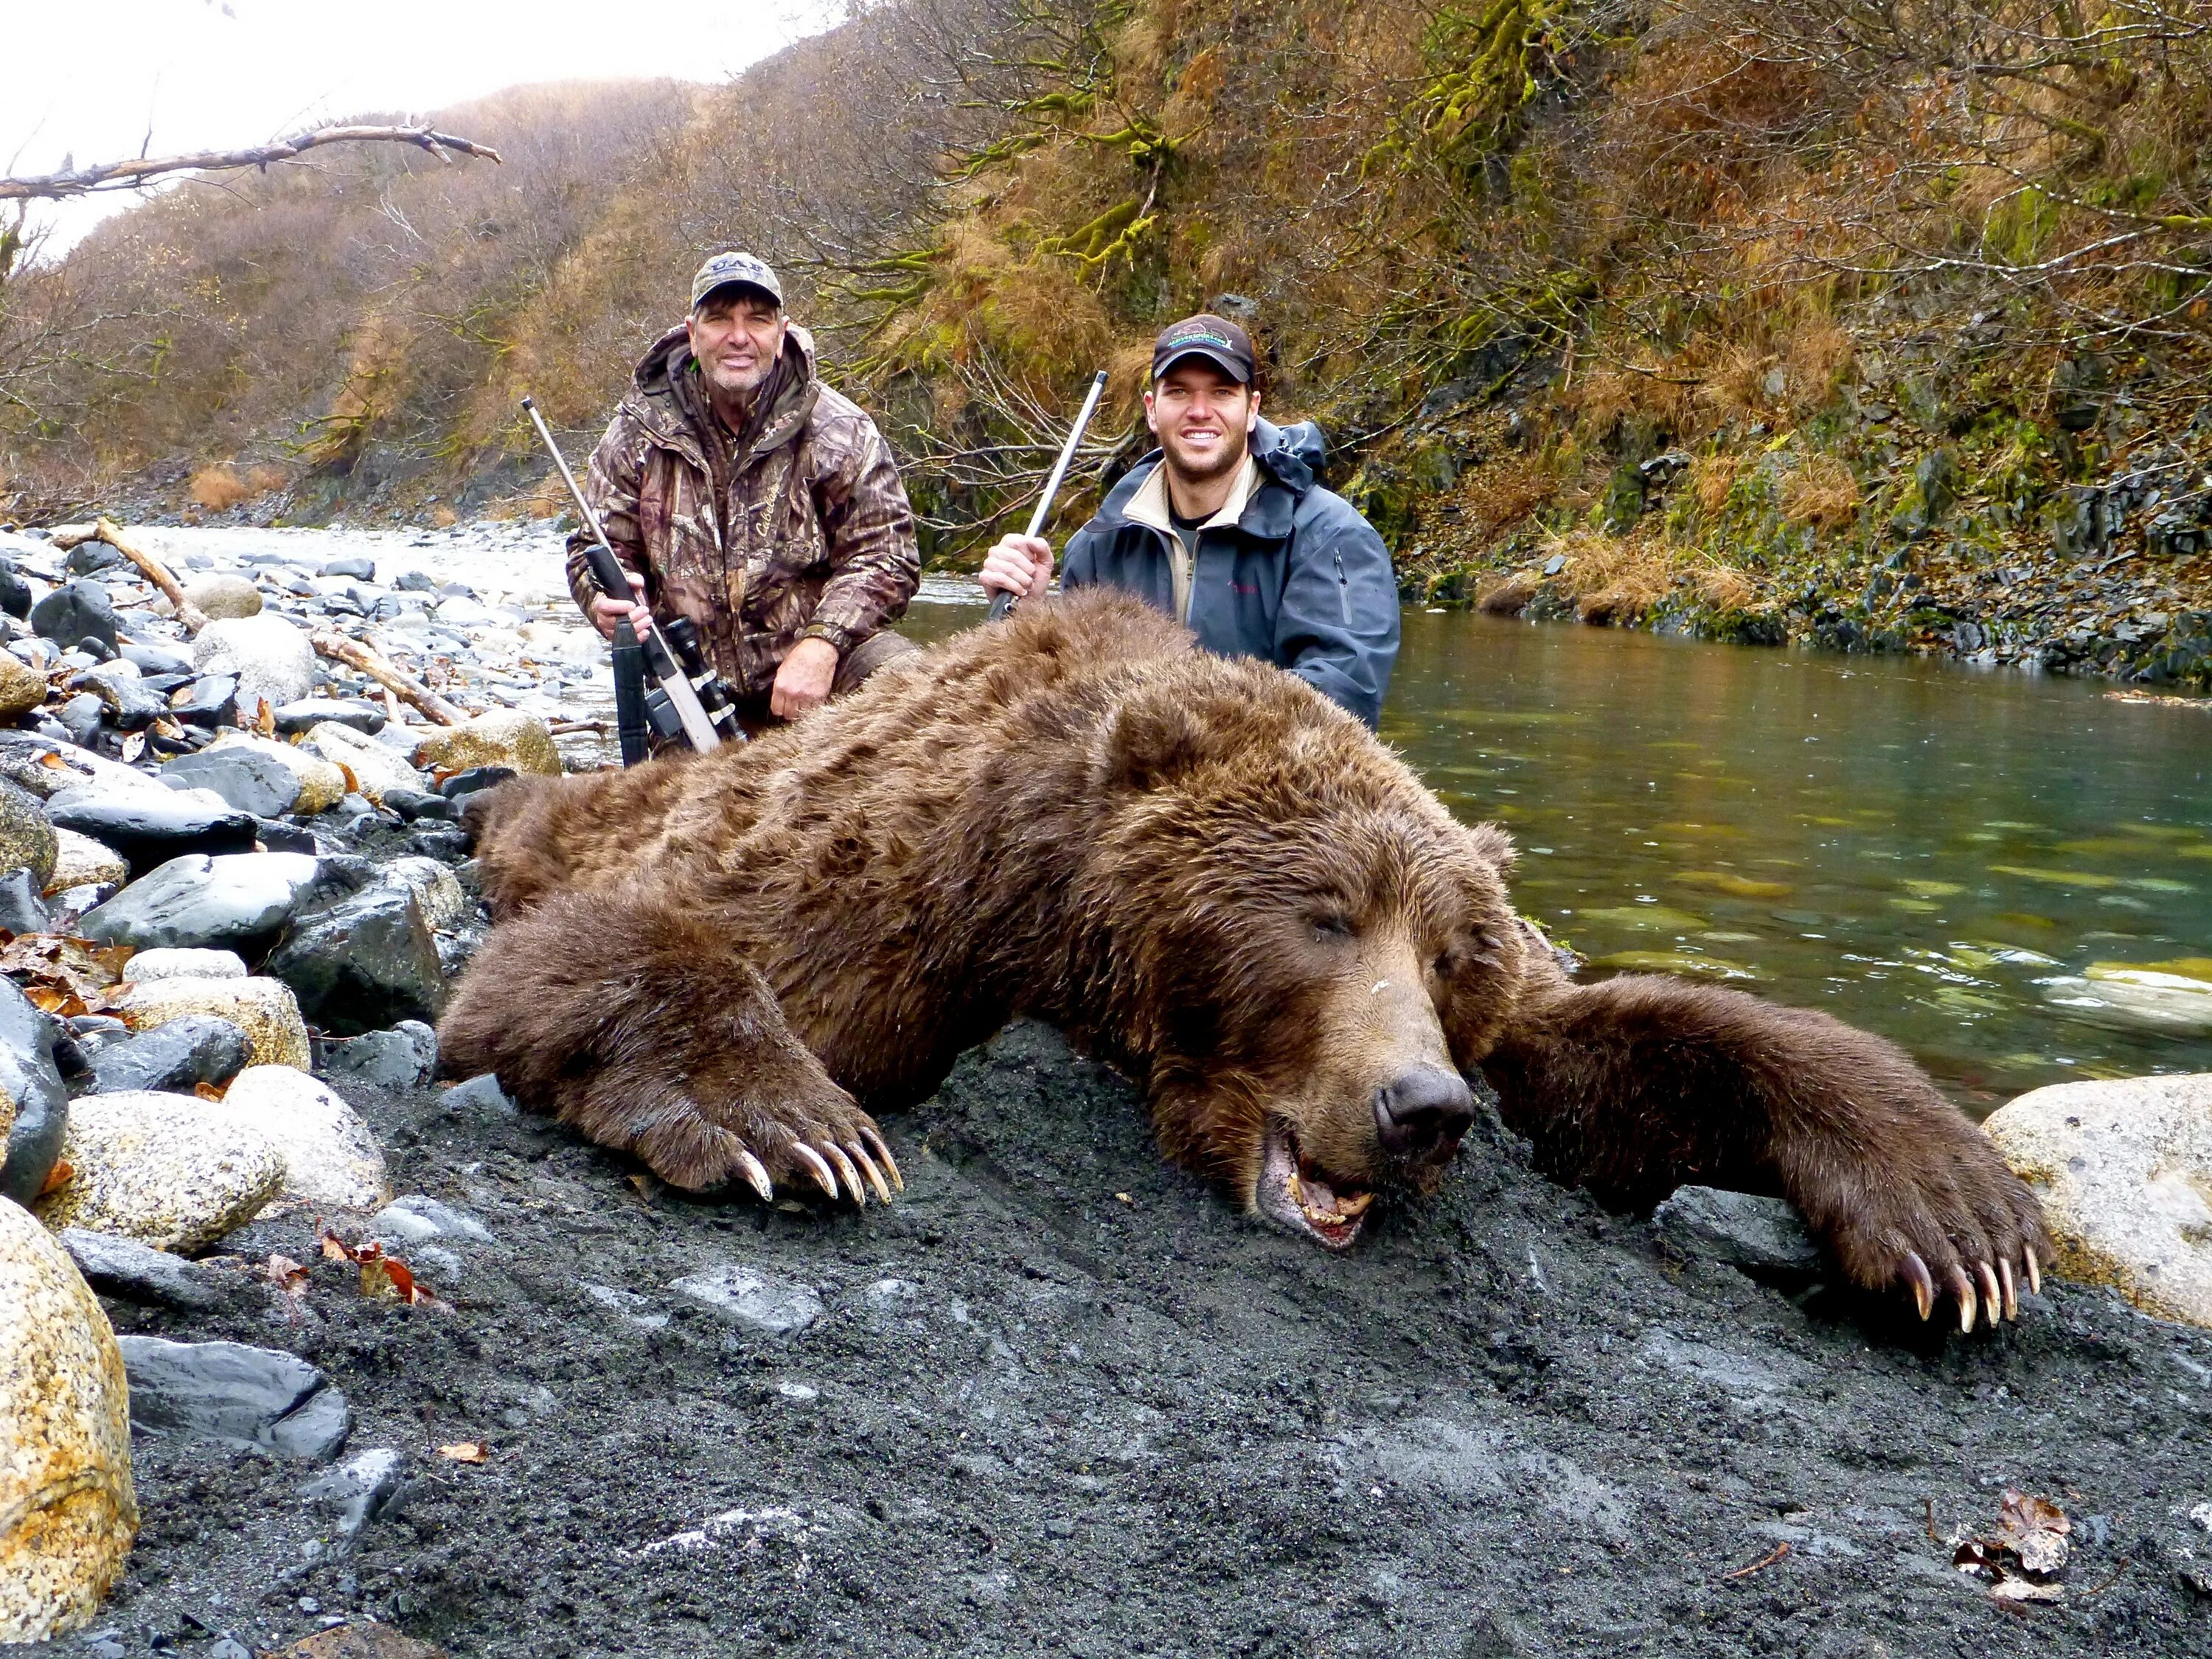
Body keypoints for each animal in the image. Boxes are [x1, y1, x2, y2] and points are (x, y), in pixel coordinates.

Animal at [440, 593, 2044, 1336]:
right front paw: (791, 1125)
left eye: (1450, 955)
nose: (1422, 1109)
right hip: (623, 800)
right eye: (1321, 916)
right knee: (553, 824)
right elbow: (577, 957)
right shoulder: (894, 903)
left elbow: (1622, 1055)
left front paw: (1959, 1220)